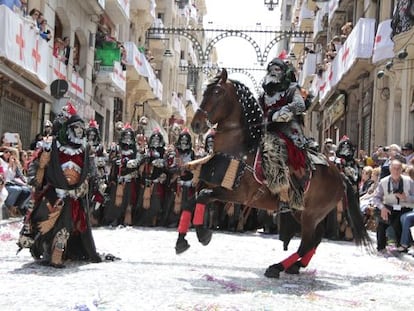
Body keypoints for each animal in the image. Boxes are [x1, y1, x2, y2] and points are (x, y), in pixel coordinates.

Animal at [191, 69, 372, 280]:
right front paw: (193, 235)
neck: (241, 149)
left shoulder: (240, 195)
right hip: (302, 211)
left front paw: (202, 236)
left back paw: (277, 267)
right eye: (205, 92)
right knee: (316, 238)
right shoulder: (215, 183)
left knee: (307, 243)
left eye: (217, 92)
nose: (196, 124)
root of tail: (340, 176)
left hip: (311, 213)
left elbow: (204, 196)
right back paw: (295, 266)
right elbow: (199, 196)